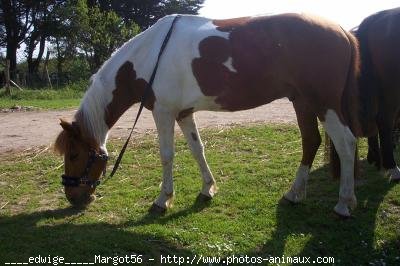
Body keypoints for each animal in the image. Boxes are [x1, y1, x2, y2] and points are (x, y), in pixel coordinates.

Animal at [55, 13, 366, 216]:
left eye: (74, 154)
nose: (72, 197)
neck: (150, 55)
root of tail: (342, 30)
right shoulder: (183, 113)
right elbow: (197, 149)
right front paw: (208, 189)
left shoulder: (164, 113)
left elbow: (167, 156)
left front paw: (163, 199)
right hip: (302, 102)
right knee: (310, 142)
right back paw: (294, 195)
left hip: (324, 104)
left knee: (346, 144)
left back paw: (344, 203)